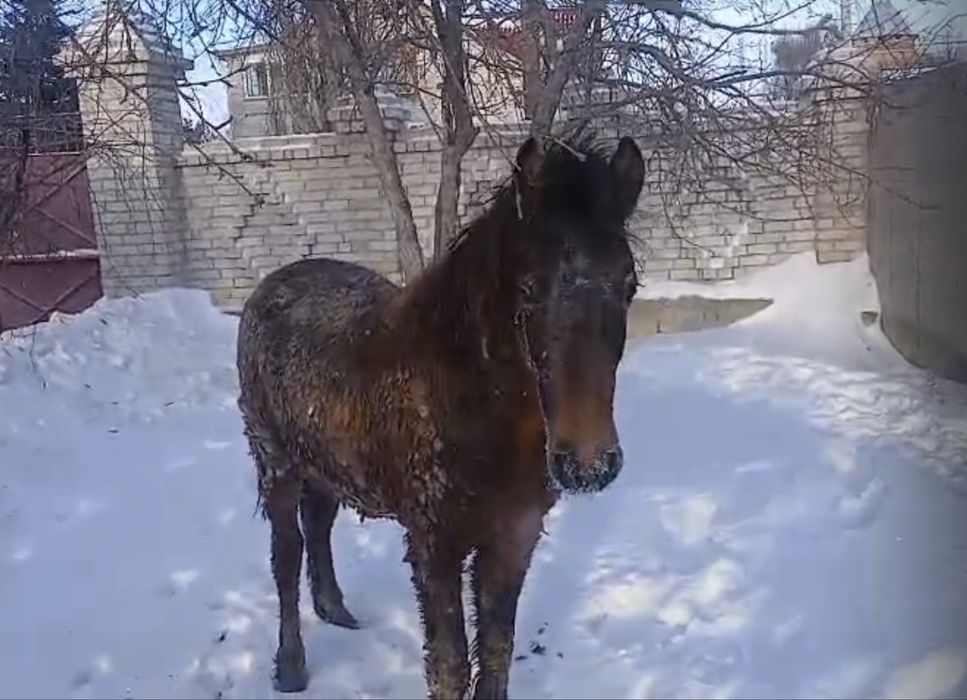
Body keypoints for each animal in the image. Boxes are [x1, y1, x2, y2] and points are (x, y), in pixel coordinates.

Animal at [235, 134, 645, 699]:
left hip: (324, 464)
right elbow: (449, 668)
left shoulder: (513, 539)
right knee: (287, 553)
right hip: (275, 464)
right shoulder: (434, 546)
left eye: (630, 284)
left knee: (317, 527)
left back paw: (338, 612)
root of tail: (271, 286)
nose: (588, 463)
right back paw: (292, 667)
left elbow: (495, 654)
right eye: (528, 289)